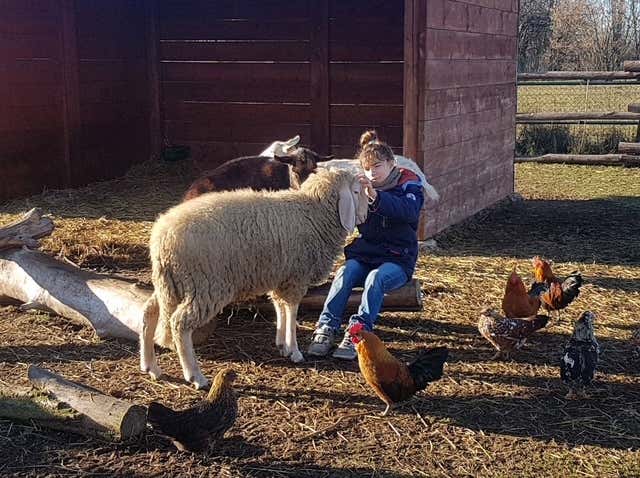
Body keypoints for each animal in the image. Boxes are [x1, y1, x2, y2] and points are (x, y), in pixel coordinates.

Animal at [140, 168, 369, 389]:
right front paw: (295, 351)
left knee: (149, 311)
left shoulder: (280, 276)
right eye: (357, 191)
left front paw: (282, 345)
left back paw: (151, 366)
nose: (367, 214)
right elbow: (292, 312)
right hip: (205, 285)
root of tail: (162, 238)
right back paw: (195, 375)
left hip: (170, 284)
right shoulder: (296, 277)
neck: (312, 213)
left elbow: (280, 308)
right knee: (180, 323)